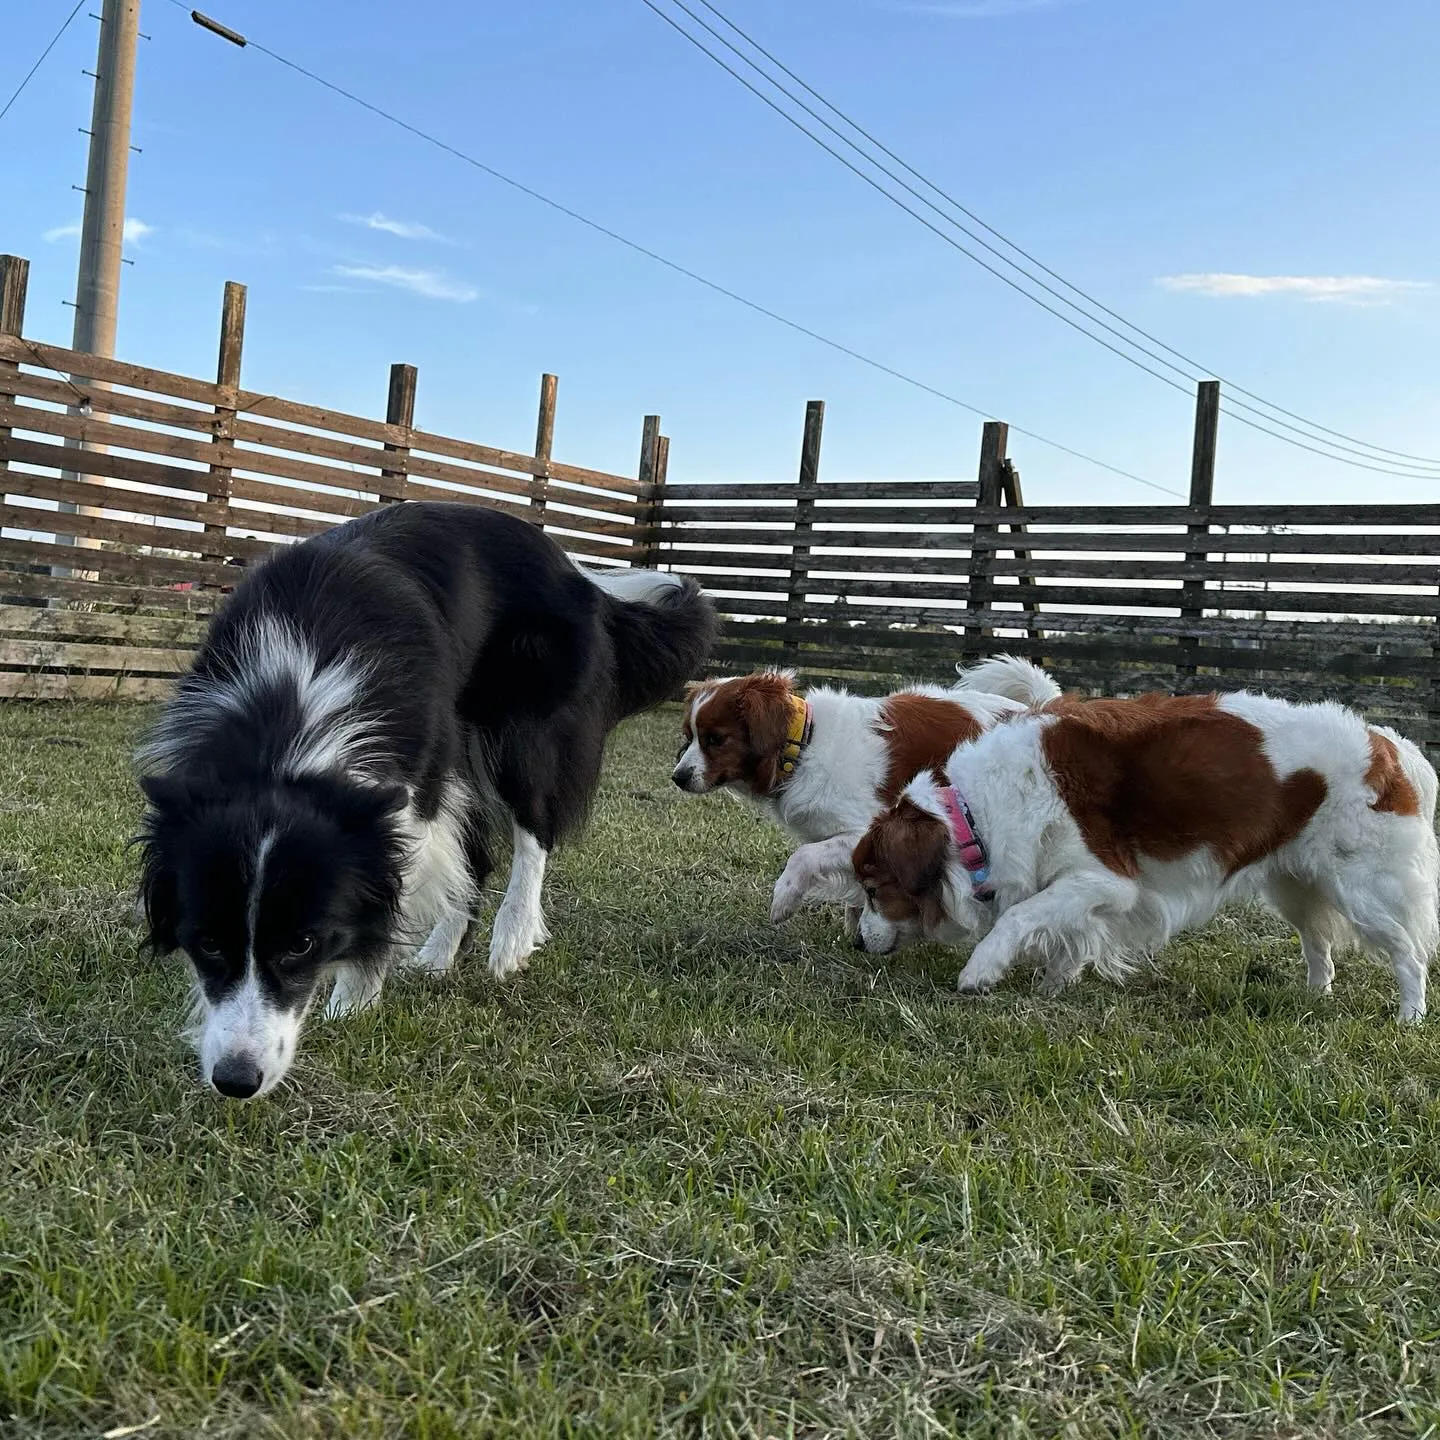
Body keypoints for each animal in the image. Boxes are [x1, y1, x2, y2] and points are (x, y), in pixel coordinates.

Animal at [777, 688, 1440, 1019]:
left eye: (873, 889)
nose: (857, 943)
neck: (975, 814)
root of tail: (1390, 743)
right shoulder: (1081, 890)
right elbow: (1064, 936)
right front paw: (1052, 985)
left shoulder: (1105, 880)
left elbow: (1021, 915)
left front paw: (982, 971)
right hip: (1296, 883)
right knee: (1318, 941)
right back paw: (1314, 994)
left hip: (1366, 891)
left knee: (1408, 954)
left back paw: (1408, 1015)